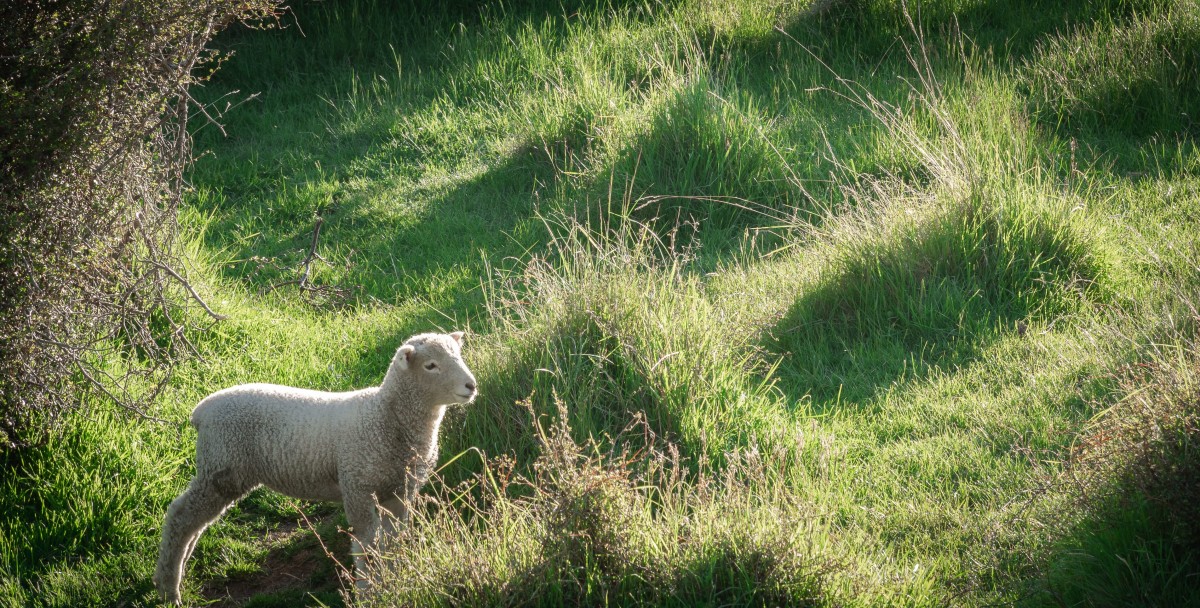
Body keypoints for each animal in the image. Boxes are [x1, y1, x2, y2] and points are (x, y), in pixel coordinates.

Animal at [153, 331, 477, 604]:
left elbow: (393, 541)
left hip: (222, 471)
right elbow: (367, 544)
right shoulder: (357, 485)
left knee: (195, 522)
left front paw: (395, 578)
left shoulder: (400, 490)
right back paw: (168, 588)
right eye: (431, 365)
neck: (386, 415)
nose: (471, 385)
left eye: (459, 356)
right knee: (180, 516)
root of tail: (201, 411)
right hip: (221, 466)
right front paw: (369, 591)